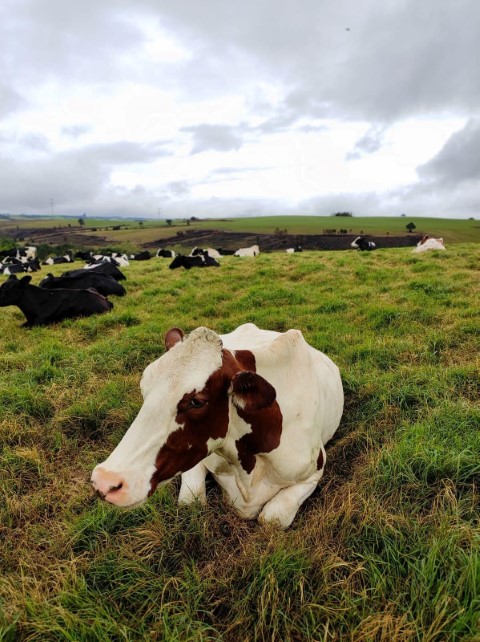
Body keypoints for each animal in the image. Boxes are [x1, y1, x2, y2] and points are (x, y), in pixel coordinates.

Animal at [90, 322, 344, 528]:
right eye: (144, 386)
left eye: (197, 401)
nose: (105, 481)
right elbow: (190, 502)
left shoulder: (314, 472)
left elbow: (273, 518)